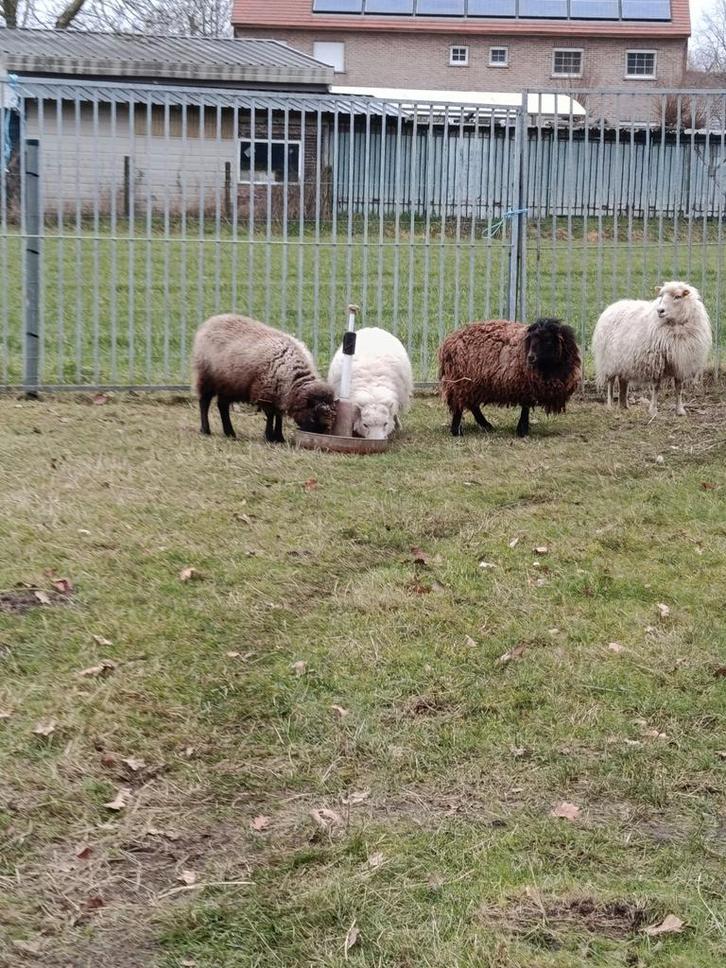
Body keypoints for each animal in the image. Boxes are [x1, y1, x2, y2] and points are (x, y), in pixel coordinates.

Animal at [192, 314, 335, 443]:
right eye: (313, 417)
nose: (317, 435)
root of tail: (212, 320)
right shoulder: (265, 393)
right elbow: (271, 416)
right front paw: (270, 436)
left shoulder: (279, 394)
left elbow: (279, 416)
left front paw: (279, 437)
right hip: (206, 376)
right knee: (204, 401)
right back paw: (205, 429)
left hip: (229, 384)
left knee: (222, 405)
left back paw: (230, 433)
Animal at [438, 318, 581, 438]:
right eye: (532, 339)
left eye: (548, 340)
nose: (530, 357)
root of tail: (448, 341)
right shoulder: (525, 385)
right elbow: (525, 408)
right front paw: (522, 430)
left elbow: (525, 407)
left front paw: (523, 429)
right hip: (460, 381)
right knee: (459, 405)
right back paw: (457, 431)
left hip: (473, 384)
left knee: (472, 405)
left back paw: (486, 425)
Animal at [592, 281, 712, 417]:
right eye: (661, 296)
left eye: (677, 297)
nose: (660, 311)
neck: (676, 327)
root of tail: (612, 306)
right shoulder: (656, 362)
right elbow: (656, 387)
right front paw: (653, 410)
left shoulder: (681, 363)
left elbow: (679, 388)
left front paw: (680, 410)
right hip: (609, 361)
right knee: (611, 383)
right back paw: (610, 405)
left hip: (624, 361)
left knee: (623, 381)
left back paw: (624, 406)